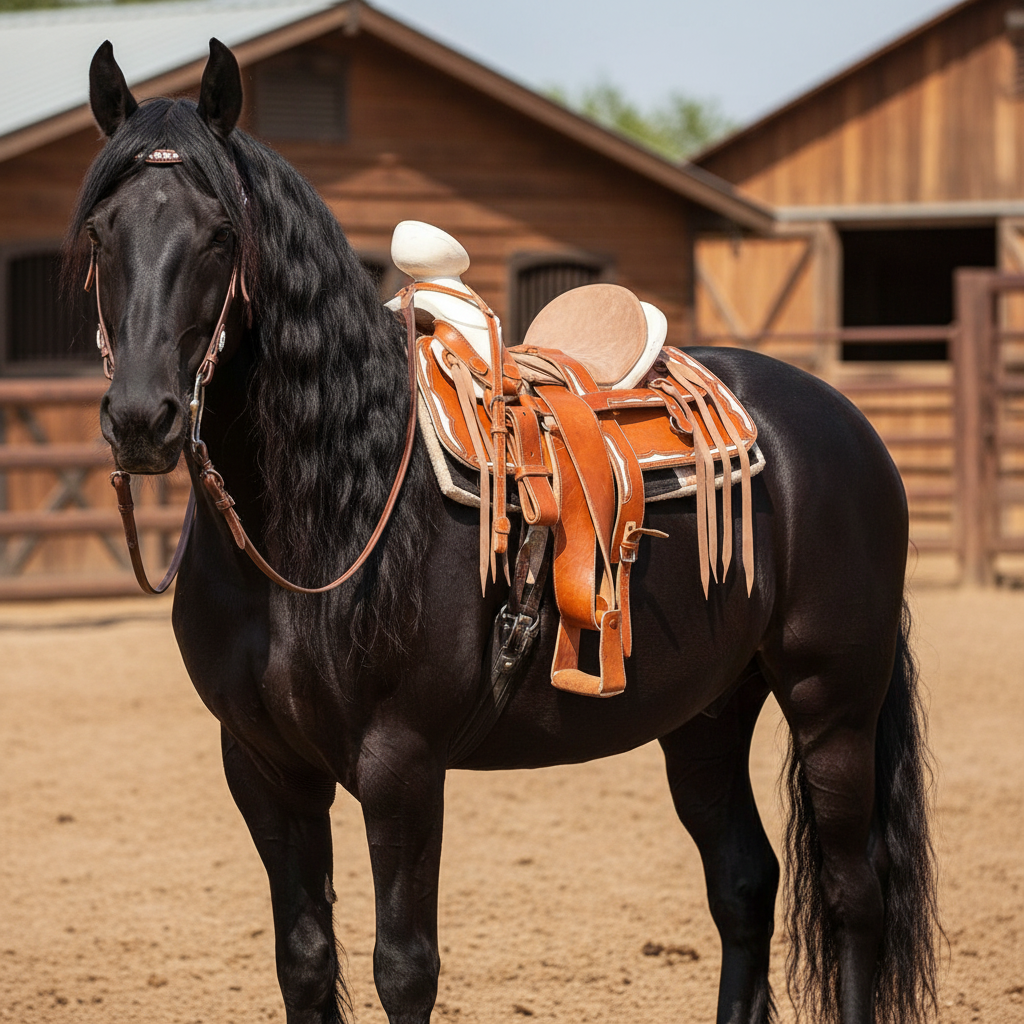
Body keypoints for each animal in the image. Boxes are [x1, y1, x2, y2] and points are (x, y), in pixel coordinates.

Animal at [66, 38, 939, 1024]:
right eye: (100, 234)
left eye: (220, 235)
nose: (143, 419)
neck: (319, 526)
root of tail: (844, 423)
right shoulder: (262, 768)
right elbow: (304, 960)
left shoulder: (401, 766)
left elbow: (404, 968)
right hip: (707, 712)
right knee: (745, 884)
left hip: (834, 701)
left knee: (851, 896)